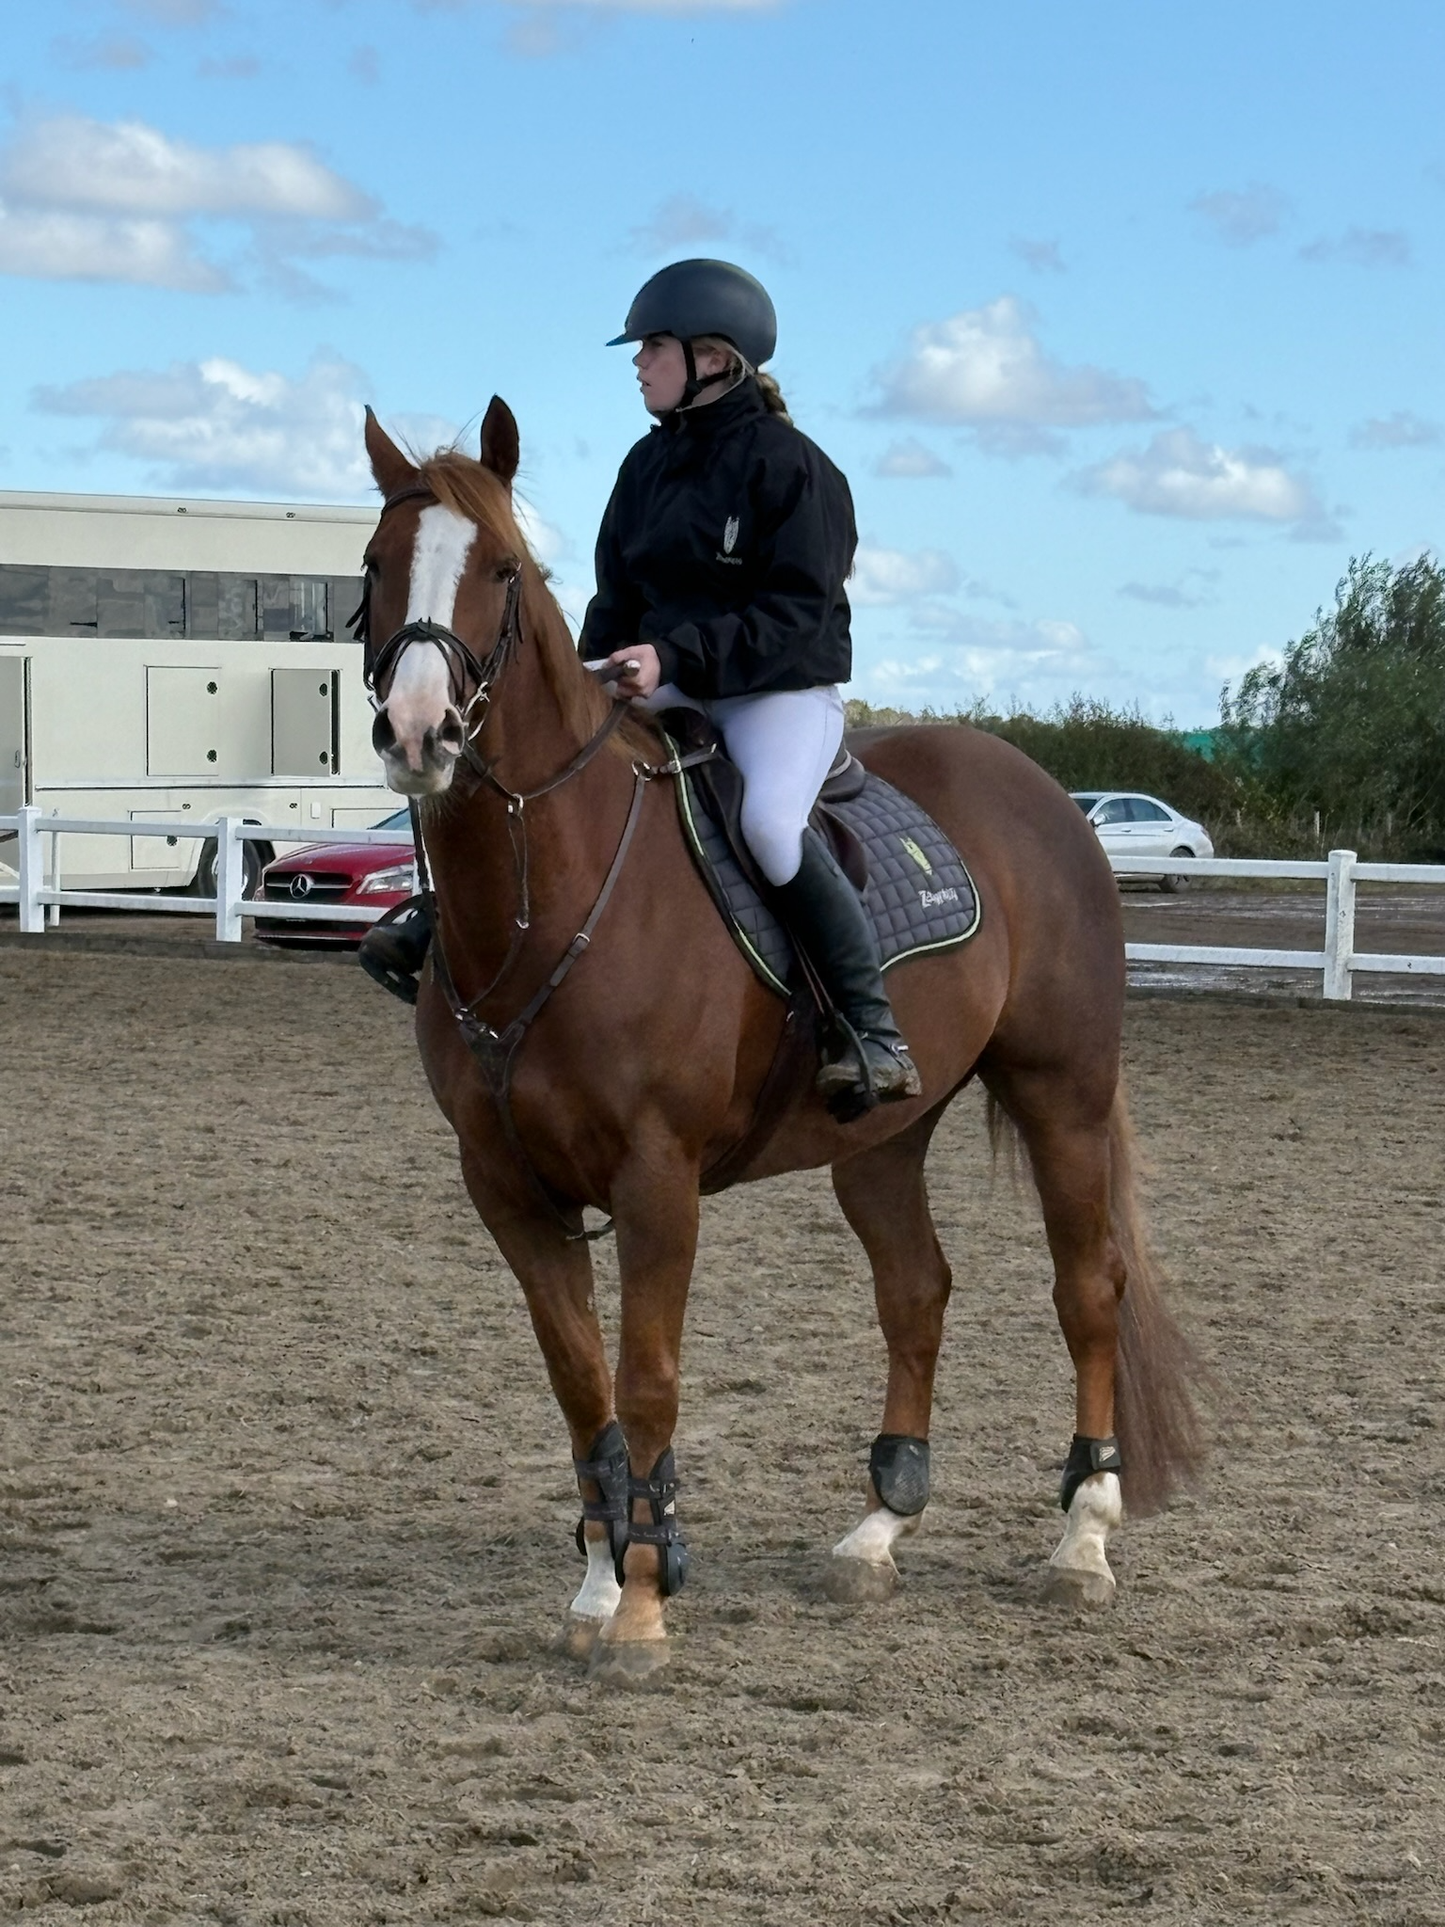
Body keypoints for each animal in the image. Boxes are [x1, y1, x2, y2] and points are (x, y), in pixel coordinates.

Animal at [358, 397, 1203, 1688]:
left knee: (1085, 1290)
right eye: (372, 566)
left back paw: (1081, 1540)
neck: (549, 892)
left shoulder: (656, 1181)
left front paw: (643, 1604)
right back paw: (877, 1529)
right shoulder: (505, 1187)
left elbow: (648, 1380)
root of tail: (1038, 787)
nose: (417, 733)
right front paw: (597, 1585)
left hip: (1059, 1092)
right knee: (916, 1290)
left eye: (500, 570)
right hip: (882, 1136)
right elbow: (580, 1383)